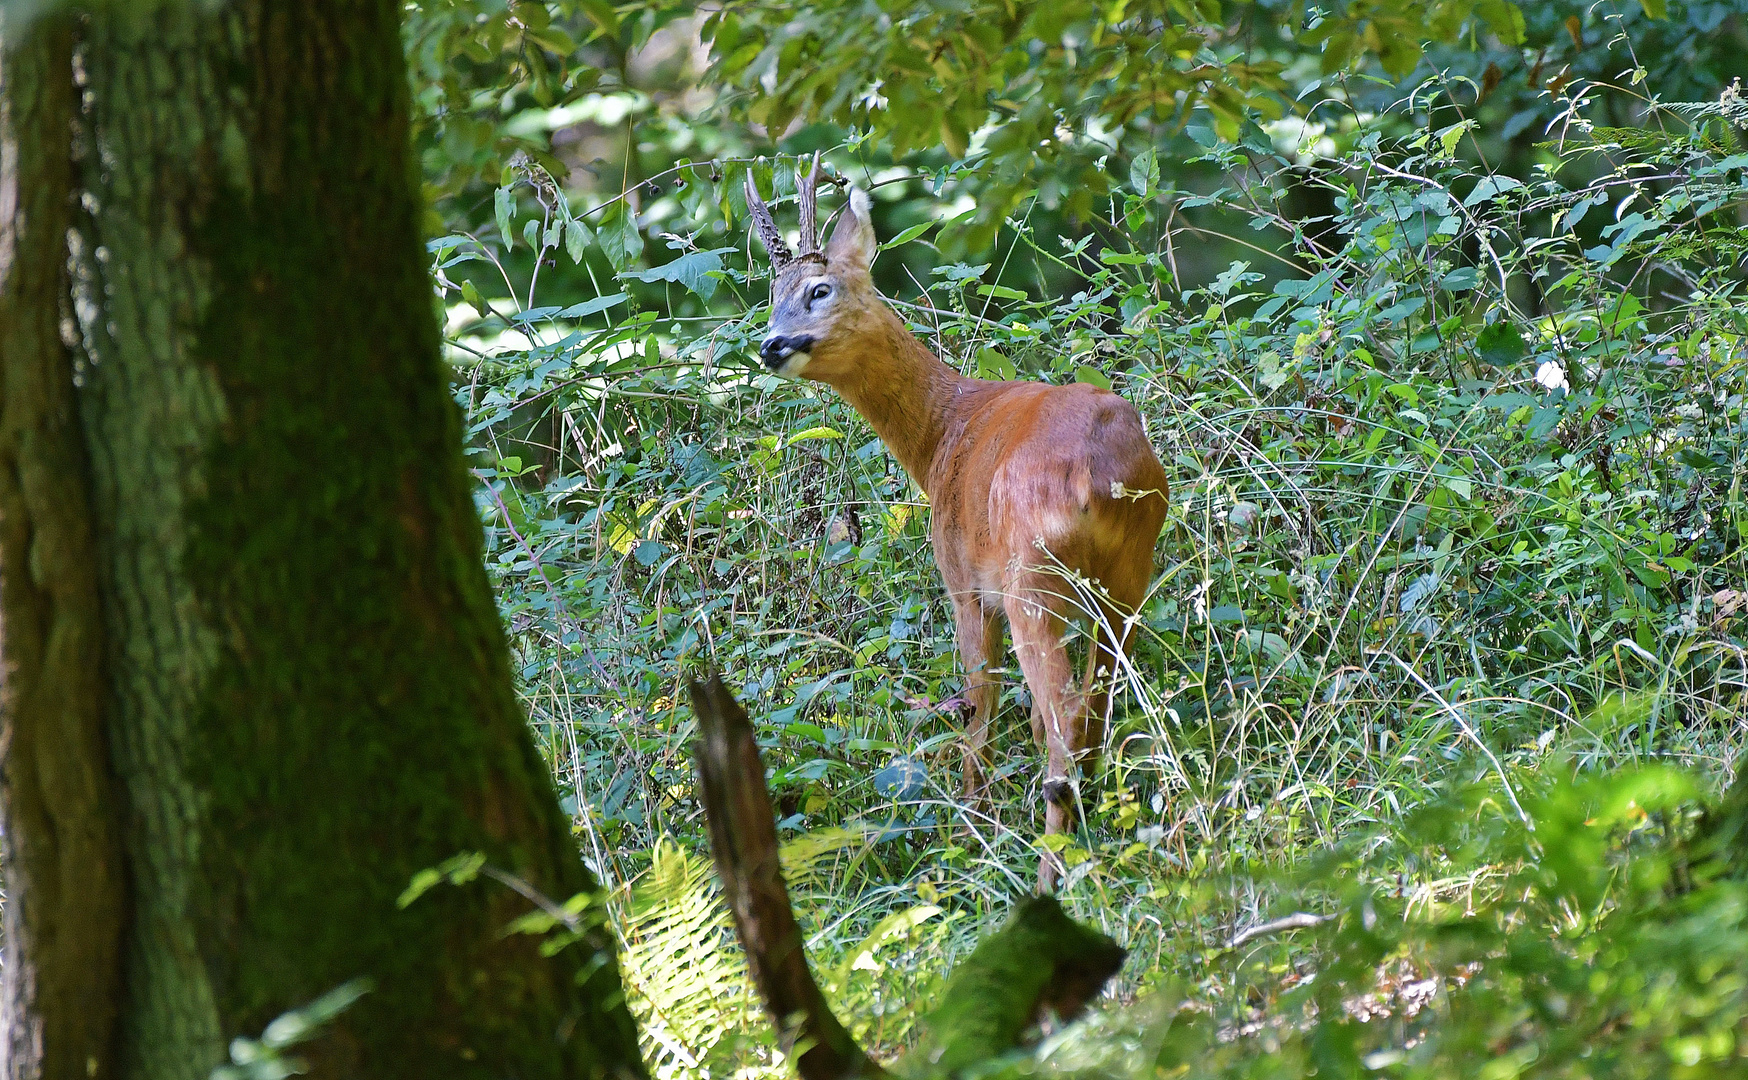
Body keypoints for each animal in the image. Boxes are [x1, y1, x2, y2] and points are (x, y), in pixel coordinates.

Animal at [744, 157, 1167, 884]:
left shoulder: (965, 584)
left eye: (819, 289)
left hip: (1032, 575)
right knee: (1098, 703)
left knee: (1059, 712)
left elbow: (977, 707)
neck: (943, 435)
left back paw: (1048, 868)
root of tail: (1104, 473)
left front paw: (972, 832)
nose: (772, 344)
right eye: (773, 296)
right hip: (1129, 573)